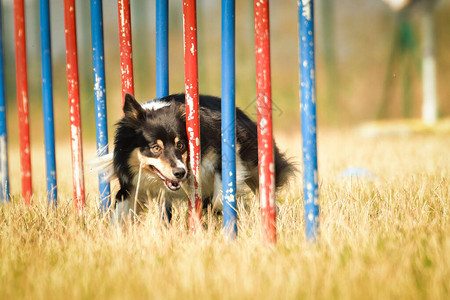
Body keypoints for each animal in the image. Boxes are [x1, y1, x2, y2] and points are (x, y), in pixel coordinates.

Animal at [96, 94, 294, 220]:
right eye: (155, 148)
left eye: (180, 145)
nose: (180, 173)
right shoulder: (131, 186)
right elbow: (118, 214)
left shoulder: (224, 155)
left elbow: (220, 199)